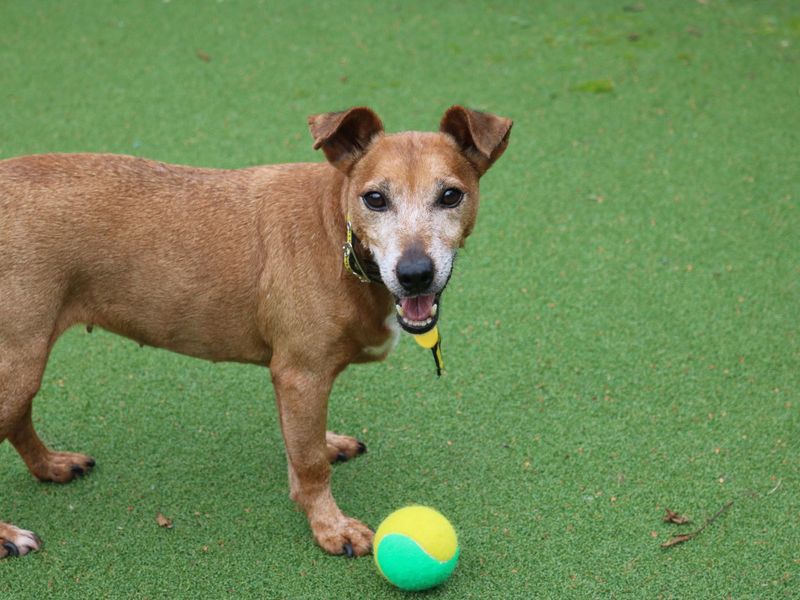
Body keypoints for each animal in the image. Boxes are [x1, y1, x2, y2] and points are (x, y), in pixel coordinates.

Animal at [0, 106, 512, 556]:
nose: (415, 274)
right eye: (375, 198)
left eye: (450, 196)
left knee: (19, 421)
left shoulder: (291, 380)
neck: (334, 228)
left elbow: (302, 446)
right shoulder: (301, 375)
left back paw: (50, 466)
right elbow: (310, 465)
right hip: (20, 359)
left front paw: (324, 453)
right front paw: (331, 528)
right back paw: (7, 534)